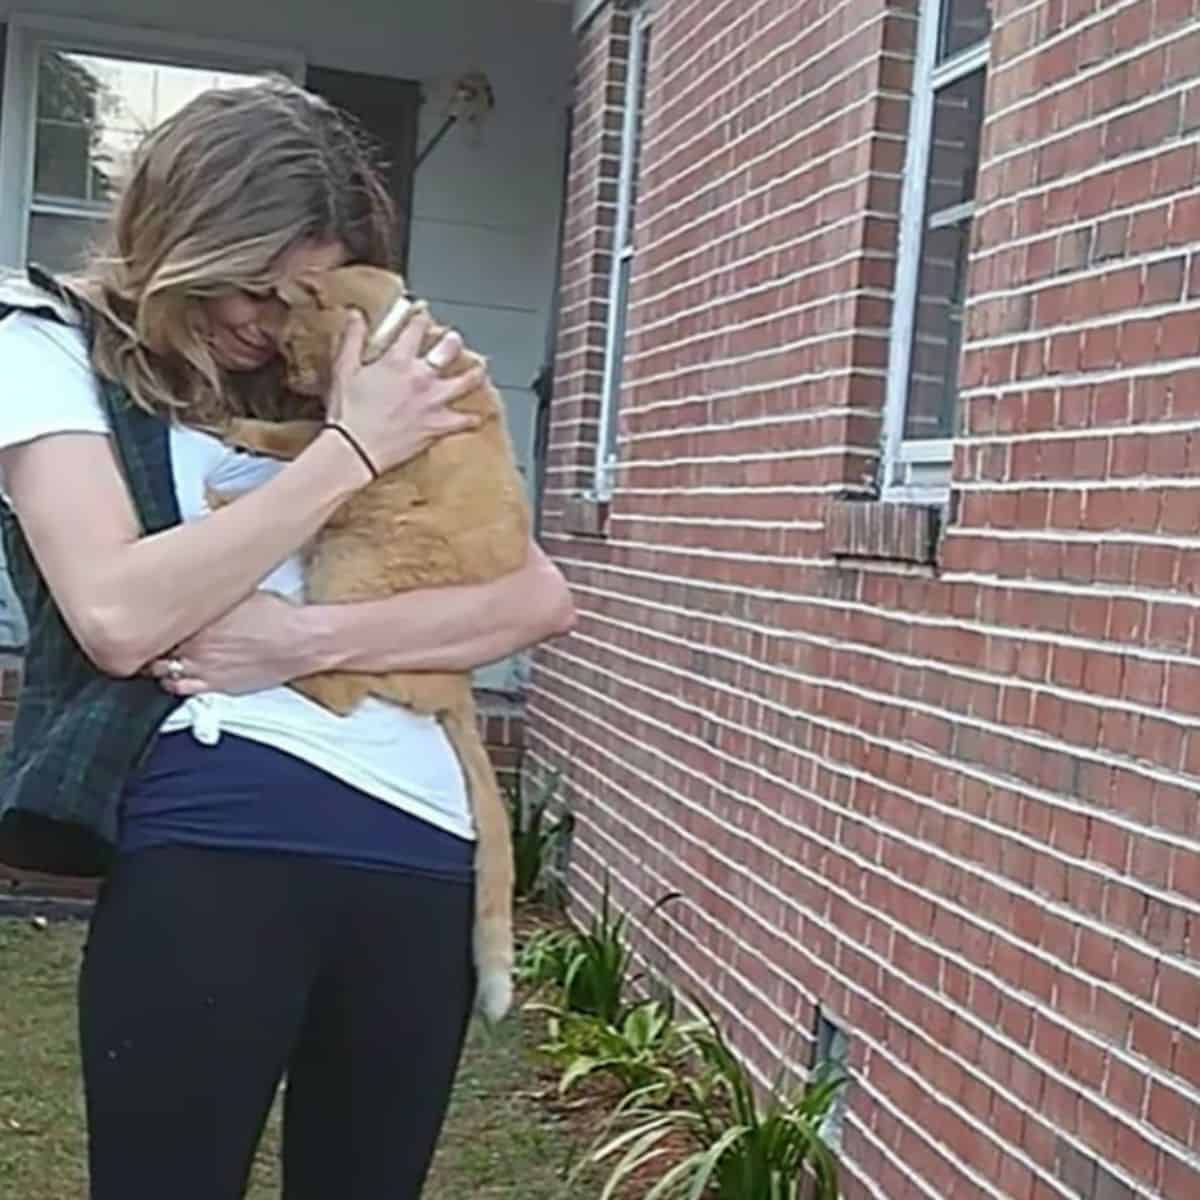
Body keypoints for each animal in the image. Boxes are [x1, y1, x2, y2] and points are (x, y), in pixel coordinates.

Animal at [222, 265, 530, 1022]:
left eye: (289, 342)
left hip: (353, 560)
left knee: (332, 679)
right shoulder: (333, 425)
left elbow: (297, 451)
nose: (292, 374)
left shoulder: (351, 456)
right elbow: (300, 432)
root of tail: (460, 691)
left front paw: (234, 457)